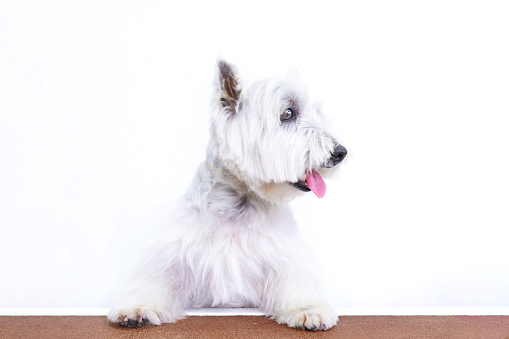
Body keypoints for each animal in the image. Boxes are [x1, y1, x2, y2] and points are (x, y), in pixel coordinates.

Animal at [107, 58, 346, 332]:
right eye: (288, 113)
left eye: (316, 113)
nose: (341, 152)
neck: (238, 198)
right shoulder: (174, 254)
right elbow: (158, 277)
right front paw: (139, 308)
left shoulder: (285, 257)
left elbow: (295, 282)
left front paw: (308, 309)